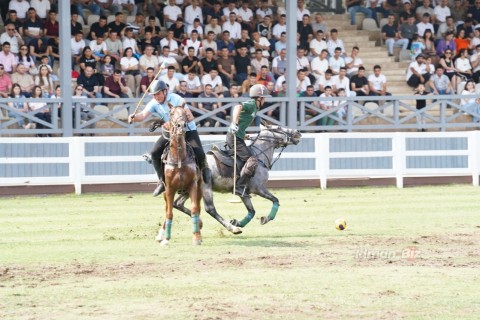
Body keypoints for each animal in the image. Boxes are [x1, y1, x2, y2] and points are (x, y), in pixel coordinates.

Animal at [155, 105, 202, 245]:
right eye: (171, 114)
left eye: (185, 113)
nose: (181, 126)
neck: (179, 158)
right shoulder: (170, 188)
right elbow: (169, 213)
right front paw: (166, 239)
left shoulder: (193, 185)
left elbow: (194, 209)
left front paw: (197, 238)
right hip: (165, 192)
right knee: (167, 209)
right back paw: (161, 235)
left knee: (198, 208)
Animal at [172, 124, 300, 229]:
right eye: (278, 128)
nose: (297, 132)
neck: (259, 157)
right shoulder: (258, 189)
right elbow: (275, 200)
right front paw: (266, 218)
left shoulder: (244, 193)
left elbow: (251, 211)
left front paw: (238, 222)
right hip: (205, 187)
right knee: (210, 208)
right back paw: (231, 228)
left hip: (192, 188)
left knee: (177, 203)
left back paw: (200, 222)